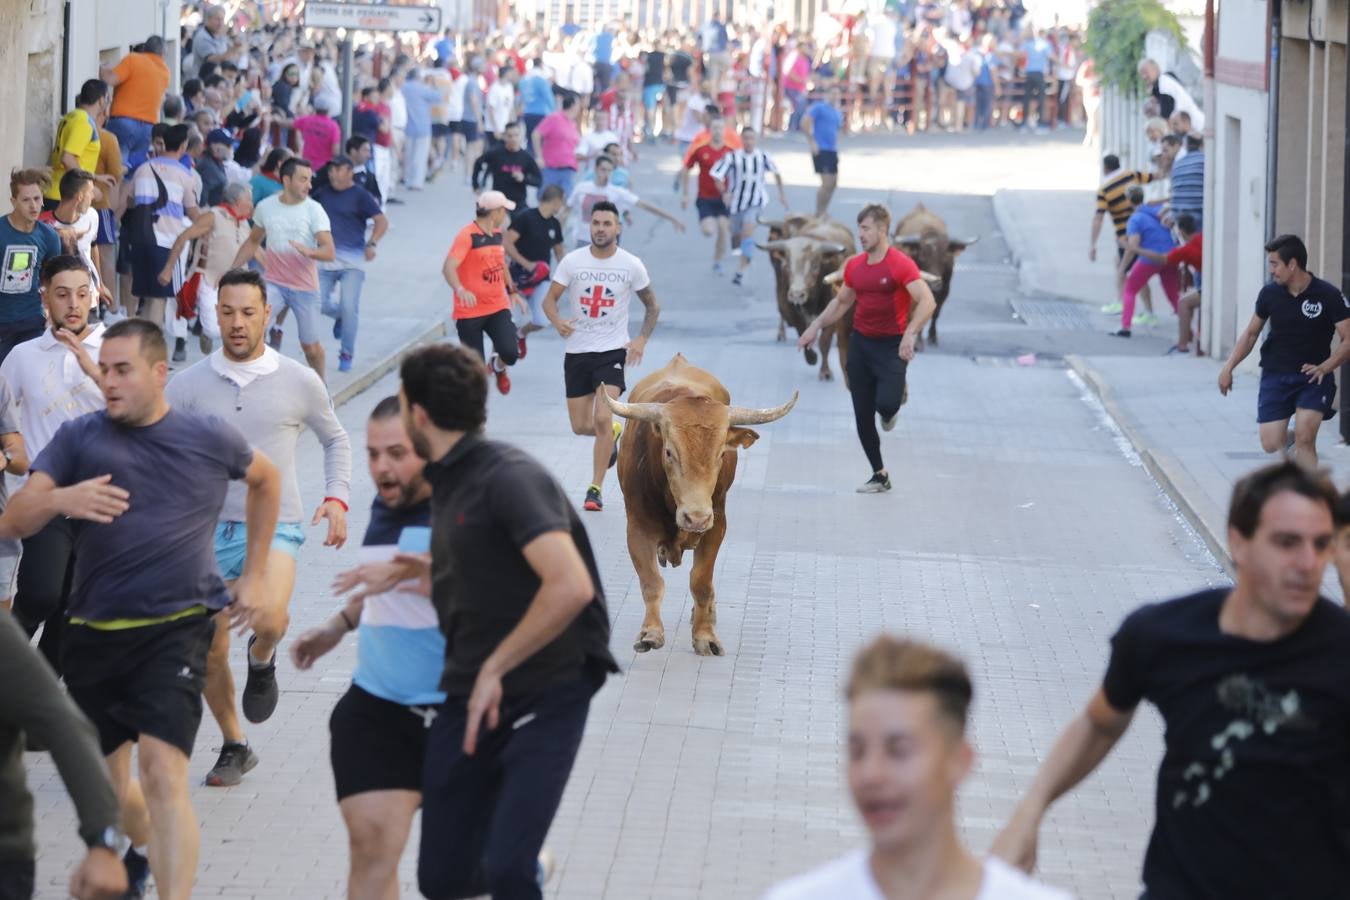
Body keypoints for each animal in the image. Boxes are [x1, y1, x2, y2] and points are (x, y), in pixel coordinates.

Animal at [599, 356, 788, 658]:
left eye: (721, 454)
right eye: (668, 452)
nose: (696, 518)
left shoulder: (716, 525)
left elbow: (701, 582)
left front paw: (705, 636)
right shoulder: (638, 528)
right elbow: (651, 582)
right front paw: (650, 633)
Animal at [891, 203, 977, 348]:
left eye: (945, 257)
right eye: (922, 256)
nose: (935, 284)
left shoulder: (945, 289)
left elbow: (936, 313)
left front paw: (933, 337)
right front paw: (918, 342)